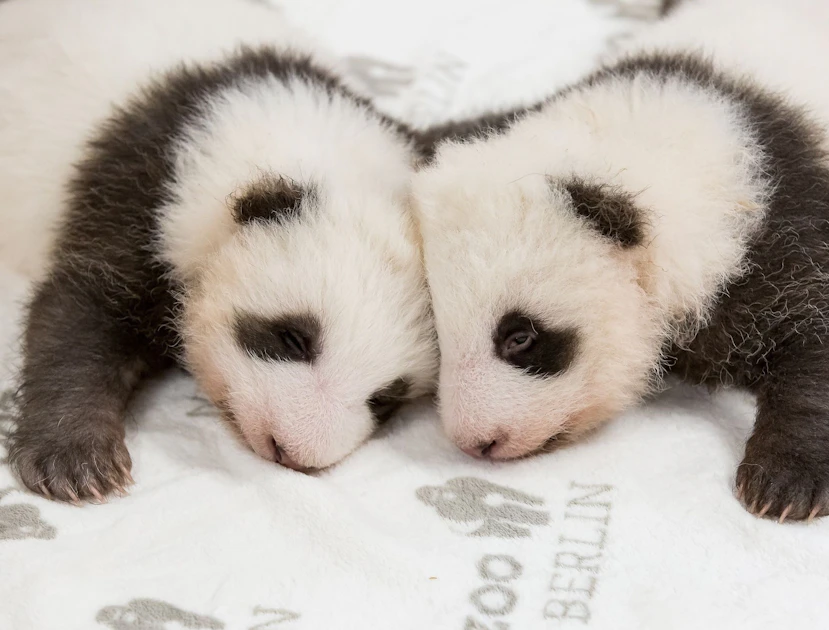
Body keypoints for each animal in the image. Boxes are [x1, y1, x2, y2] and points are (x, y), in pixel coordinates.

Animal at [0, 0, 438, 502]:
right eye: (293, 338)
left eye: (385, 399)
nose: (291, 450)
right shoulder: (139, 192)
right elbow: (78, 309)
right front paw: (75, 459)